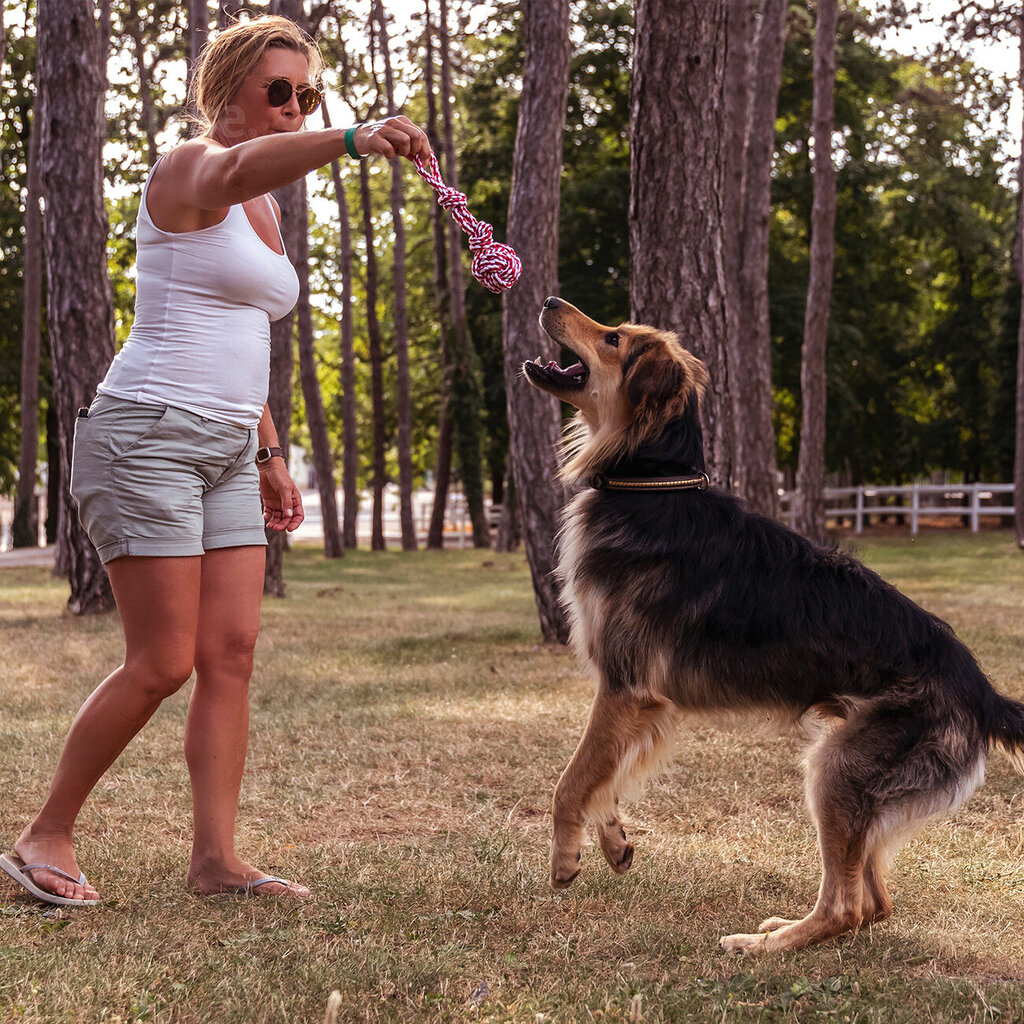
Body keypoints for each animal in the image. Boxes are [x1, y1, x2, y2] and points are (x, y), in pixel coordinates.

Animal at [524, 296, 1024, 950]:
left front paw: (563, 859)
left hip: (836, 768)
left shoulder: (625, 685)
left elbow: (572, 778)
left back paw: (763, 946)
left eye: (613, 338)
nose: (549, 301)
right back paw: (787, 930)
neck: (649, 483)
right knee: (875, 903)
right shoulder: (640, 700)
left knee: (846, 907)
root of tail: (981, 688)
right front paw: (613, 842)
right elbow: (604, 776)